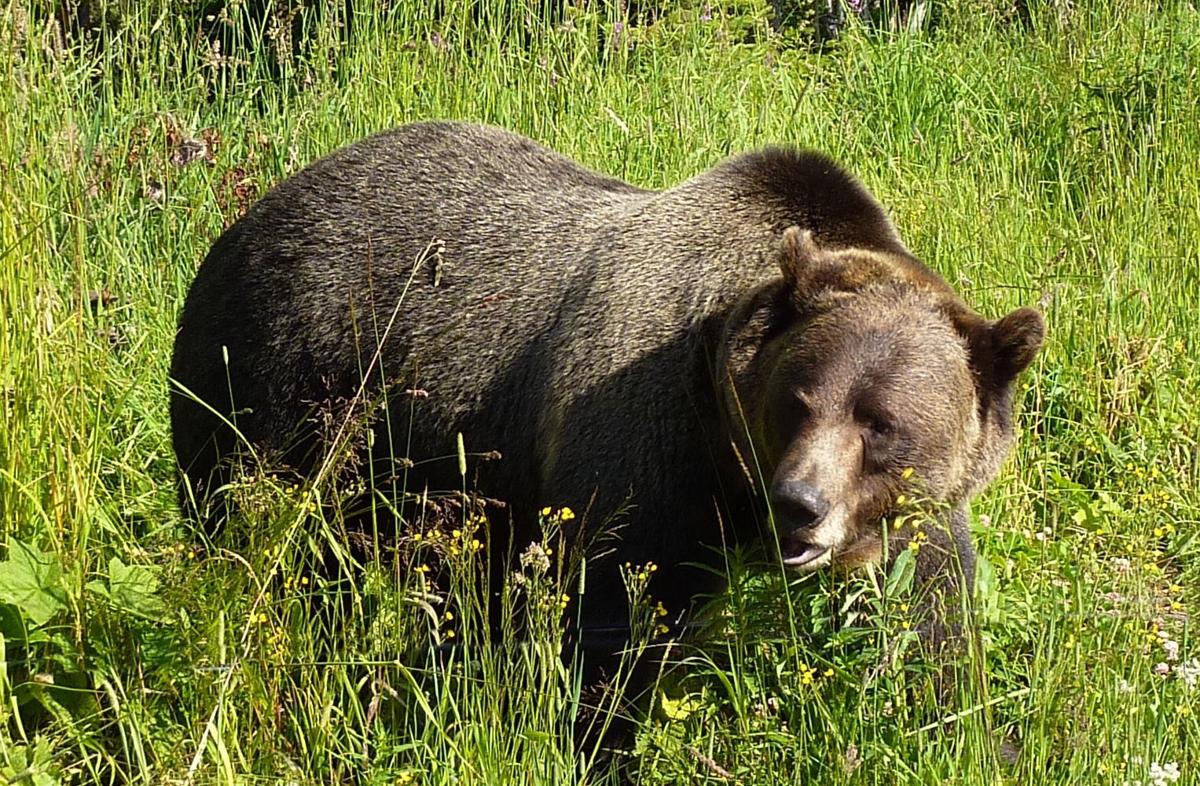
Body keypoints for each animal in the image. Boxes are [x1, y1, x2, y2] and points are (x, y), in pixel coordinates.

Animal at [170, 120, 1044, 658]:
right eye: (795, 402)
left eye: (881, 423)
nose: (800, 503)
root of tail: (253, 211)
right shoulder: (645, 441)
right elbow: (615, 615)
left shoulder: (911, 515)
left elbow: (935, 616)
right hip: (275, 386)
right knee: (252, 529)